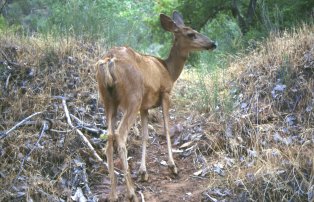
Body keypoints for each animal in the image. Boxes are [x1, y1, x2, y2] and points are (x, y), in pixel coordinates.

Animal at [95, 11, 217, 202]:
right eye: (191, 34)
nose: (213, 43)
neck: (169, 71)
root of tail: (108, 60)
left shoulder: (145, 106)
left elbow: (145, 135)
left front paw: (143, 172)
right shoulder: (165, 93)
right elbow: (166, 128)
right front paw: (172, 166)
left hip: (108, 101)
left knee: (108, 139)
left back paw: (113, 194)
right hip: (133, 97)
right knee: (120, 135)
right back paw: (131, 193)